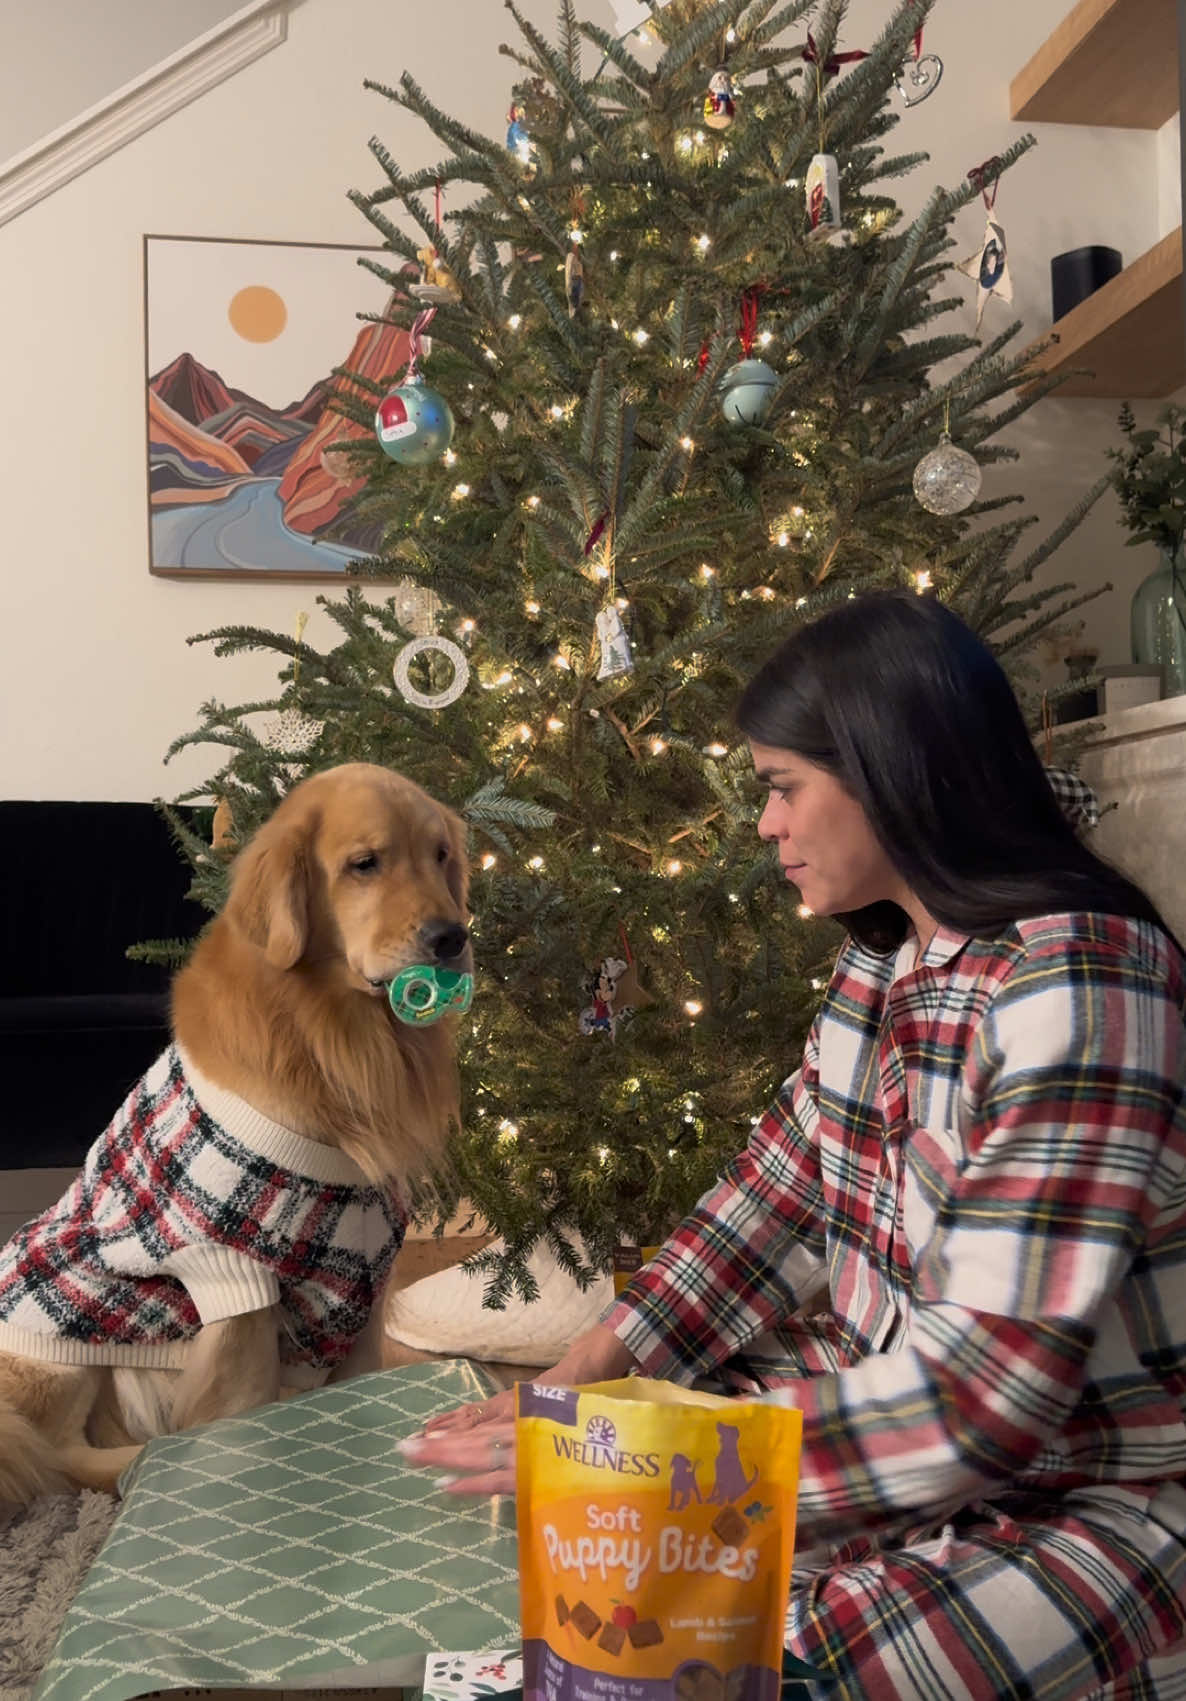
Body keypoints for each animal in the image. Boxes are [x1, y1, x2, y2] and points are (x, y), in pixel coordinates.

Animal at [0, 765, 469, 1510]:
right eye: (365, 864)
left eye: (441, 855)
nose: (453, 936)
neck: (333, 1037)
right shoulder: (231, 1277)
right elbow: (243, 1410)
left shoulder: (367, 1277)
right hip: (63, 1347)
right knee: (55, 1457)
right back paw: (136, 1460)